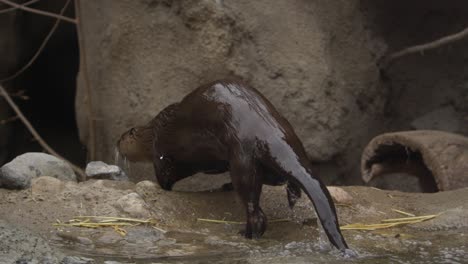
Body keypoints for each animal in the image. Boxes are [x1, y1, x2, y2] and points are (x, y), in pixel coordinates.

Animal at [119, 79, 350, 252]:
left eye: (122, 138)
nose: (117, 143)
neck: (152, 133)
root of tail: (269, 132)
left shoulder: (161, 152)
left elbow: (165, 174)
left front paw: (161, 187)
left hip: (242, 156)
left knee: (255, 210)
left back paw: (245, 234)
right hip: (291, 139)